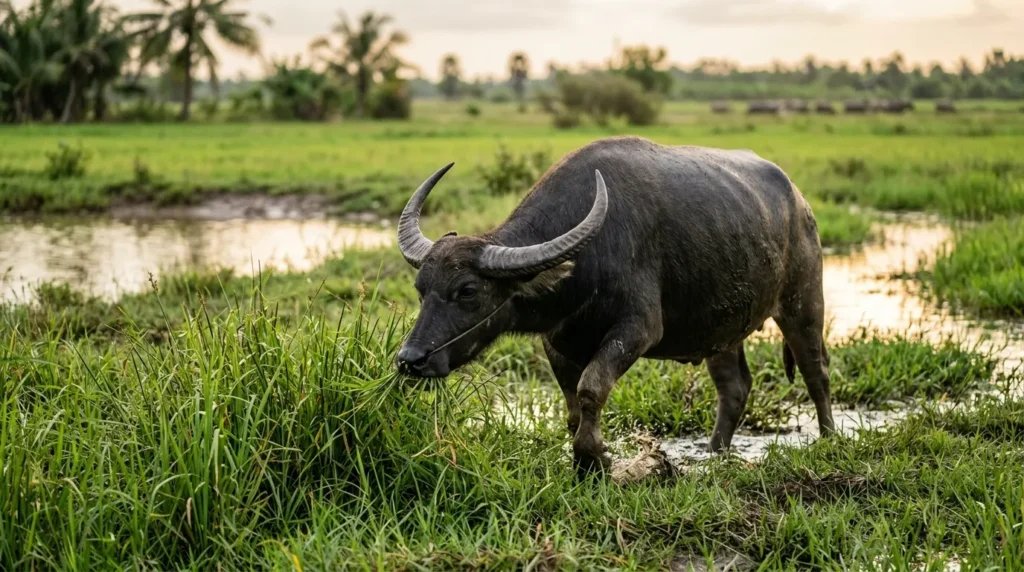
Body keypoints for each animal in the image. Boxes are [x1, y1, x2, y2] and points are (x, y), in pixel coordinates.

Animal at [395, 137, 835, 475]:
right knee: (735, 386)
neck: (586, 263)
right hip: (722, 330)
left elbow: (592, 387)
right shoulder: (555, 342)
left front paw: (593, 459)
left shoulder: (638, 329)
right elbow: (573, 406)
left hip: (803, 302)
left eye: (468, 290)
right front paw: (585, 454)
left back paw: (829, 439)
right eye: (421, 289)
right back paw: (713, 452)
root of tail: (799, 202)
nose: (410, 359)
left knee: (816, 372)